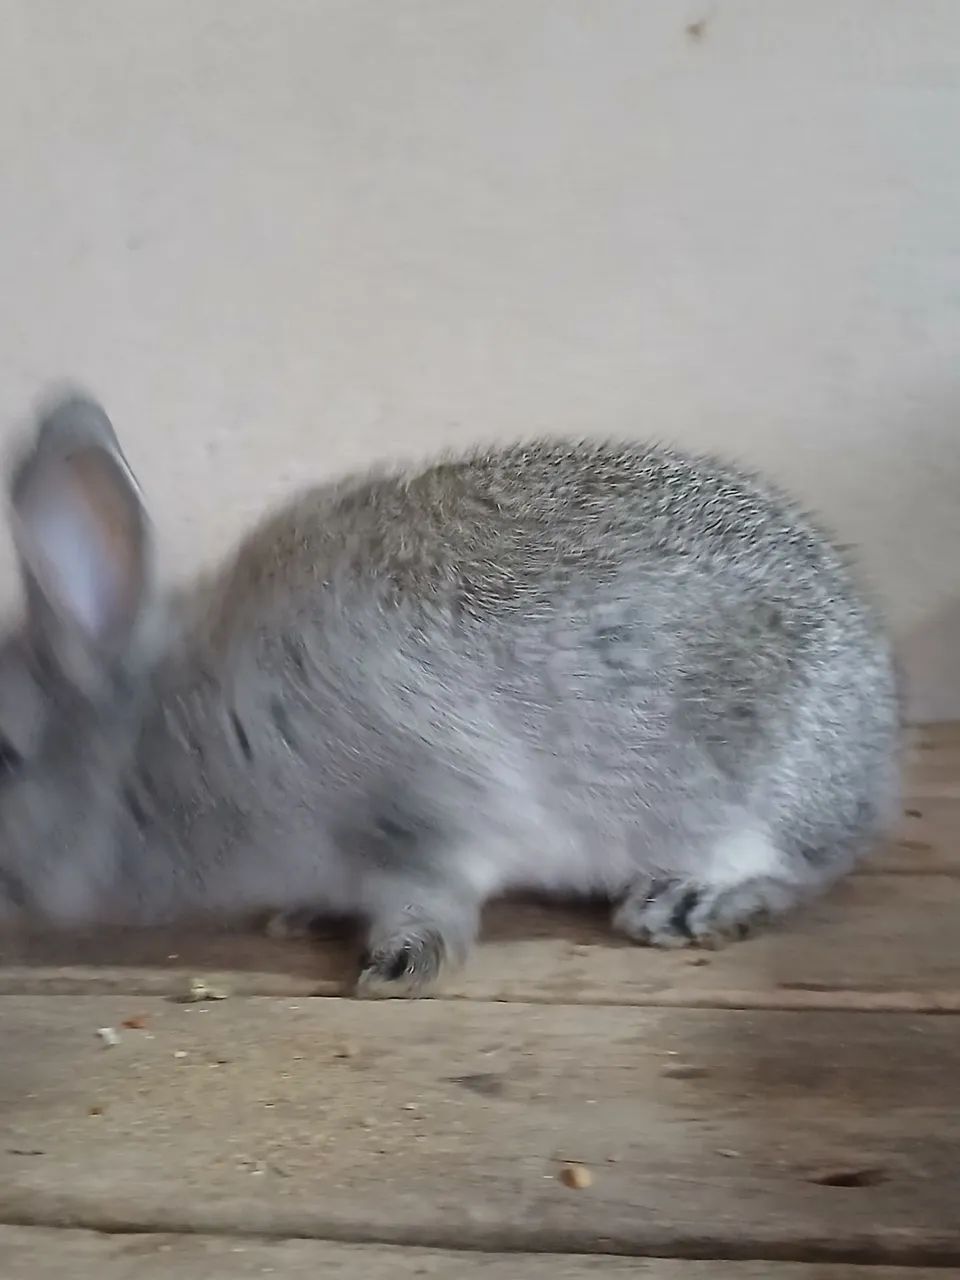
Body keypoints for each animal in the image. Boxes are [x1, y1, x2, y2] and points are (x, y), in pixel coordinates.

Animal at [0, 392, 899, 996]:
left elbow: (434, 895)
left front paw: (400, 963)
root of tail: (877, 740)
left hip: (761, 784)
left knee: (795, 863)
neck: (174, 734)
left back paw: (685, 902)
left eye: (5, 753)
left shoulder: (427, 808)